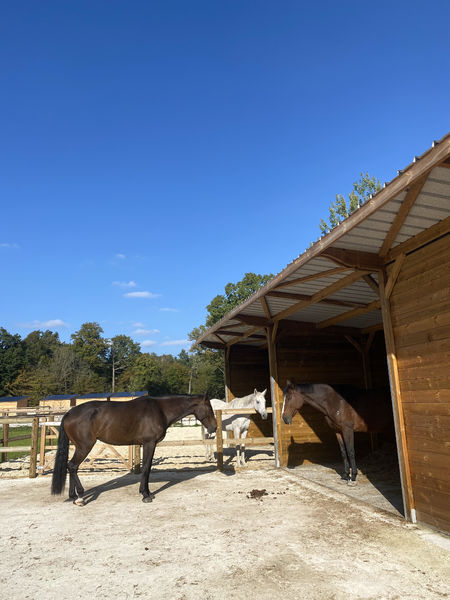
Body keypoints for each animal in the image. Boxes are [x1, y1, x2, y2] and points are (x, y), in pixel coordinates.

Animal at [51, 392, 216, 504]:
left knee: (71, 467)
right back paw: (80, 496)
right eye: (209, 408)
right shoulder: (149, 443)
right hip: (84, 446)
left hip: (78, 446)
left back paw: (73, 496)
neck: (160, 410)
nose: (214, 427)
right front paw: (145, 495)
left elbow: (147, 468)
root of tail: (68, 413)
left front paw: (147, 492)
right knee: (73, 466)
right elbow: (146, 468)